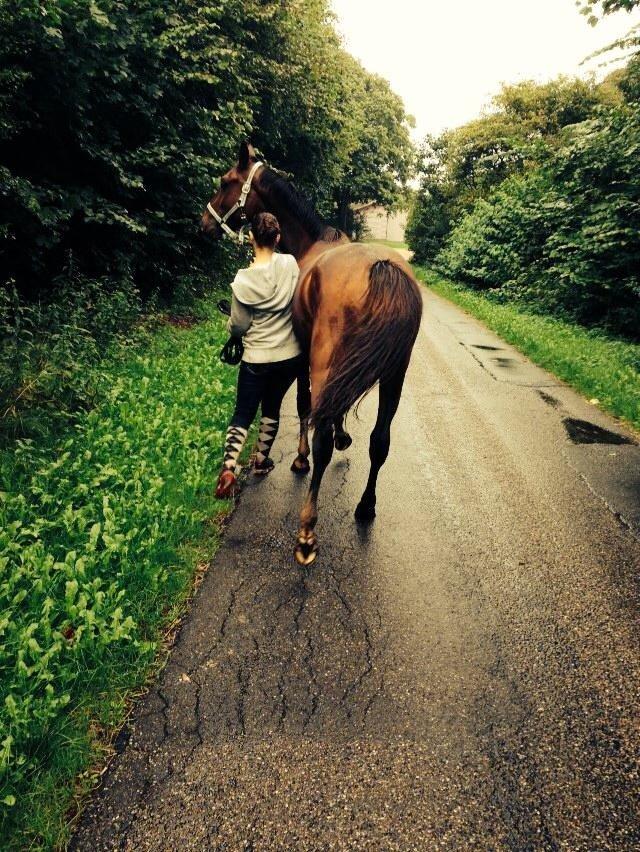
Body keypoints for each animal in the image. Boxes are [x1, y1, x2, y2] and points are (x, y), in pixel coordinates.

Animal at [202, 140, 422, 564]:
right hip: (394, 376)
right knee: (380, 441)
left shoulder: (305, 356)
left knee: (321, 439)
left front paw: (301, 457)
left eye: (225, 181)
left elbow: (306, 406)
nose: (204, 224)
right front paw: (344, 436)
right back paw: (365, 507)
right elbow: (337, 414)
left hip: (329, 364)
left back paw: (306, 533)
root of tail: (383, 268)